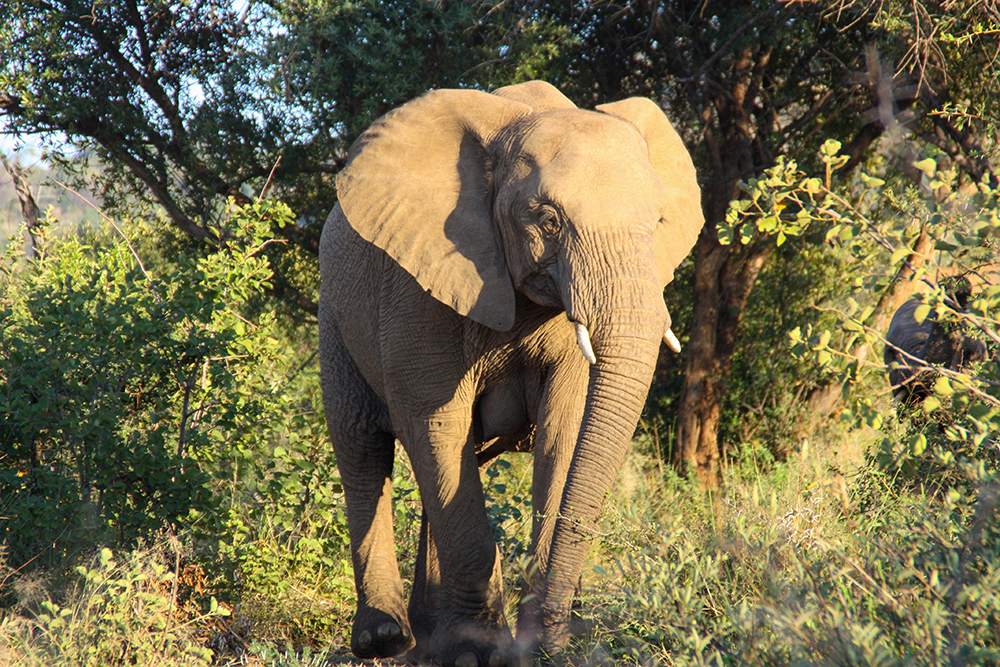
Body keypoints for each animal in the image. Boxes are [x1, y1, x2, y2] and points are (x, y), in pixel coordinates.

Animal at [318, 79, 704, 667]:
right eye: (548, 220)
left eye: (658, 222)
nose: (548, 639)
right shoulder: (416, 287)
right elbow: (436, 425)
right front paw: (478, 652)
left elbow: (565, 430)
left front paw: (534, 641)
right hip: (334, 311)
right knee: (362, 445)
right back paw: (387, 639)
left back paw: (430, 633)